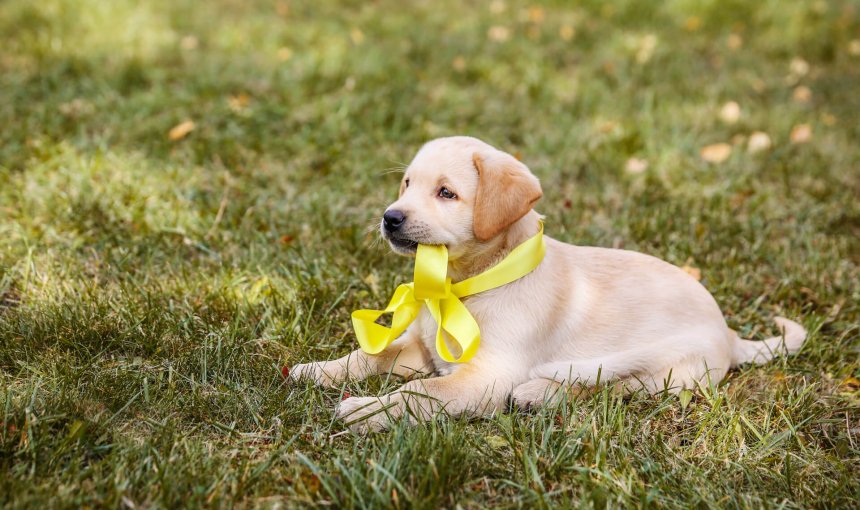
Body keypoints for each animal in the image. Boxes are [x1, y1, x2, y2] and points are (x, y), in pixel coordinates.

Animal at [290, 134, 808, 430]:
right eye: (407, 185)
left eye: (446, 193)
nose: (390, 218)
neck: (465, 285)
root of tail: (730, 334)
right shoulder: (422, 349)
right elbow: (370, 355)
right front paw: (320, 370)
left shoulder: (486, 376)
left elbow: (421, 393)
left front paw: (368, 411)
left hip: (666, 372)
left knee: (610, 388)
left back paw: (537, 394)